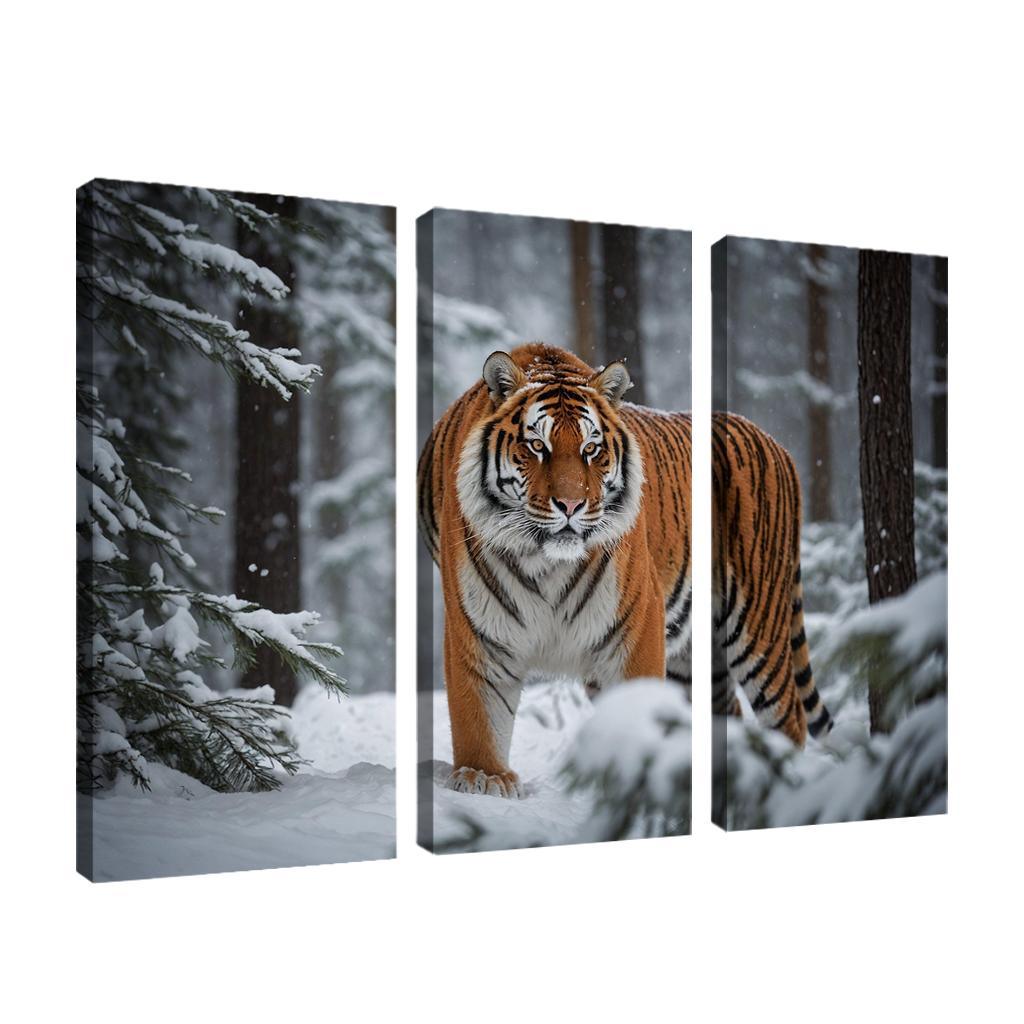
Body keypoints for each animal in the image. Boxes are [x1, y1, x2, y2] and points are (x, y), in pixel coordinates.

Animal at [418, 343, 692, 798]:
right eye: (537, 446)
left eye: (591, 449)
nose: (571, 504)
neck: (547, 562)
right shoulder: (478, 630)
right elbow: (479, 711)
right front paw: (483, 776)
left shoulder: (636, 620)